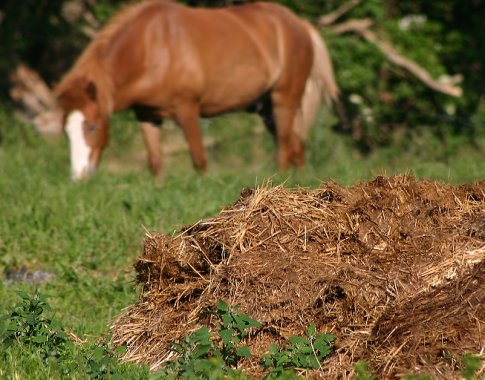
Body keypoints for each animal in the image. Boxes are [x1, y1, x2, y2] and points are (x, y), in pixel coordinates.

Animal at [55, 0, 336, 180]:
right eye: (66, 131)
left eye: (92, 126)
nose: (79, 176)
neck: (152, 47)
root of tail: (300, 24)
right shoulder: (147, 115)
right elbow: (156, 162)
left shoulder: (187, 109)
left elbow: (199, 160)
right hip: (266, 109)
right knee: (296, 146)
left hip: (284, 99)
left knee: (284, 147)